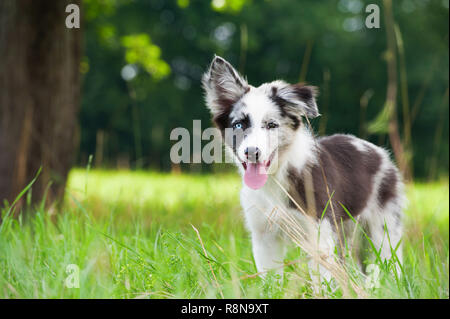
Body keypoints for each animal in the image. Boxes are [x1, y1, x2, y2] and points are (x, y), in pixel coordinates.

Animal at [202, 55, 406, 284]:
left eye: (271, 125)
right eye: (239, 125)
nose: (252, 152)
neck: (277, 178)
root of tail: (380, 153)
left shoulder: (320, 231)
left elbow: (323, 280)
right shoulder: (264, 236)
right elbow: (271, 281)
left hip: (383, 228)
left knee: (390, 265)